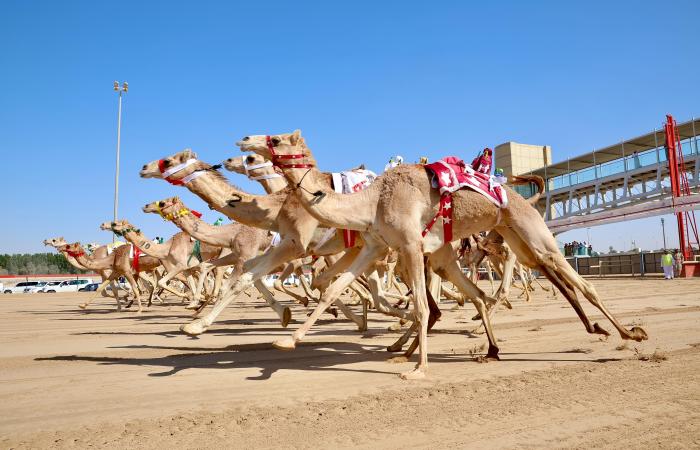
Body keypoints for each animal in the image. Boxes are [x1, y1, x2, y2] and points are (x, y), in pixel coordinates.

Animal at [238, 131, 648, 380]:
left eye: (275, 138)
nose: (243, 141)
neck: (372, 200)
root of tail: (519, 196)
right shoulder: (376, 245)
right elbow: (334, 289)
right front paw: (286, 342)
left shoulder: (409, 245)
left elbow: (421, 307)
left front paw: (418, 369)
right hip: (512, 237)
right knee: (522, 277)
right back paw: (495, 349)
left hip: (530, 229)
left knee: (577, 279)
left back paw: (629, 333)